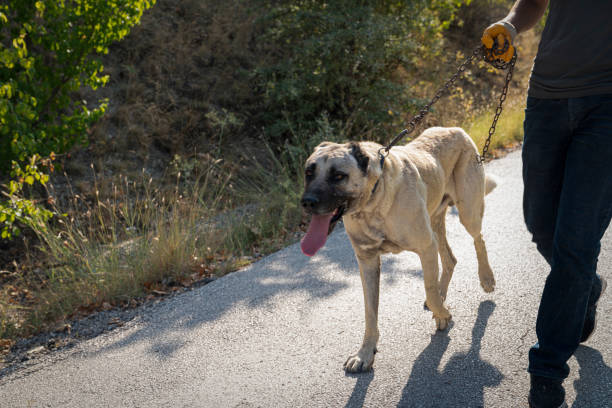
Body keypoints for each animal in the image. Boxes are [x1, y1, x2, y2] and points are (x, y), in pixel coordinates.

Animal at [300, 127, 498, 372]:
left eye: (338, 176)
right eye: (309, 172)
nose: (307, 202)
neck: (373, 201)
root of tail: (455, 129)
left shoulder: (426, 247)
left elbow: (429, 291)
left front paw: (443, 314)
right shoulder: (367, 262)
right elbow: (370, 313)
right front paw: (365, 353)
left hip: (467, 211)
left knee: (478, 239)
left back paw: (486, 278)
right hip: (436, 223)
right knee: (450, 259)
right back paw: (444, 291)